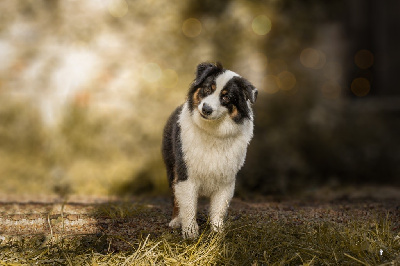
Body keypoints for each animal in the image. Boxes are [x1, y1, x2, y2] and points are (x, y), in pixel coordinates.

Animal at [162, 62, 258, 239]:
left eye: (226, 97)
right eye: (208, 89)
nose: (206, 109)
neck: (212, 131)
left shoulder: (227, 177)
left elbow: (220, 207)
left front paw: (217, 231)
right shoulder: (186, 173)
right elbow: (188, 204)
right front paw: (190, 231)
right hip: (171, 167)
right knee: (175, 197)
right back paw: (176, 220)